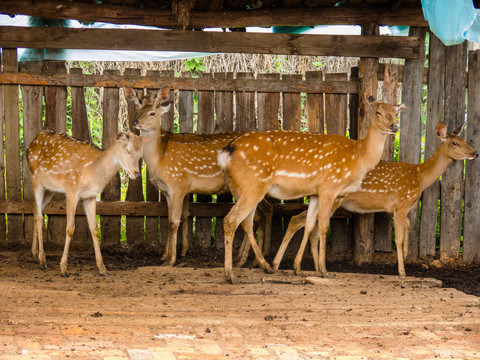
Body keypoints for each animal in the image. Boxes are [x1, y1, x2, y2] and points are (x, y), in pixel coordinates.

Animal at [26, 131, 142, 278]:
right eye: (127, 150)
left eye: (140, 154)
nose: (136, 173)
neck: (93, 172)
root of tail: (31, 144)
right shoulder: (71, 189)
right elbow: (70, 228)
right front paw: (63, 269)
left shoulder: (91, 196)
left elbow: (94, 228)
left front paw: (103, 269)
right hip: (35, 179)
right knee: (40, 216)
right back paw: (43, 260)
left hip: (50, 189)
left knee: (36, 209)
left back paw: (35, 255)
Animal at [124, 87, 272, 268]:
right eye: (138, 109)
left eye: (152, 112)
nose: (135, 122)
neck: (159, 159)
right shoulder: (168, 191)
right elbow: (172, 219)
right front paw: (166, 256)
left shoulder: (178, 186)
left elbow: (174, 222)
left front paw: (171, 259)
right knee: (261, 213)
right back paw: (250, 258)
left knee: (258, 215)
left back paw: (246, 260)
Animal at [219, 99, 406, 284]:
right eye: (378, 112)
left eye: (396, 113)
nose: (394, 126)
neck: (358, 157)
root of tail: (226, 152)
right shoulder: (329, 186)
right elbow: (323, 226)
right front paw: (324, 271)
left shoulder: (315, 192)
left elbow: (309, 225)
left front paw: (297, 268)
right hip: (253, 185)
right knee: (231, 220)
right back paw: (230, 275)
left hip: (248, 189)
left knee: (247, 222)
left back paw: (266, 267)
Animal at [272, 121, 478, 278]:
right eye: (454, 143)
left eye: (464, 139)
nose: (475, 153)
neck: (420, 177)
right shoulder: (401, 203)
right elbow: (399, 238)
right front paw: (402, 271)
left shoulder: (405, 208)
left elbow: (409, 227)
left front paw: (406, 258)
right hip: (335, 199)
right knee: (301, 222)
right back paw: (286, 265)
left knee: (303, 224)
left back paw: (304, 267)